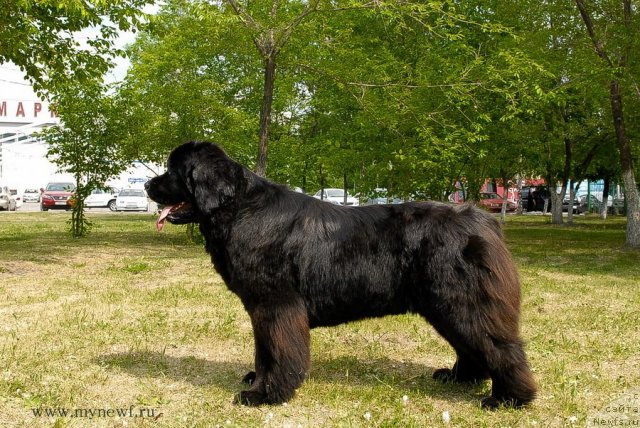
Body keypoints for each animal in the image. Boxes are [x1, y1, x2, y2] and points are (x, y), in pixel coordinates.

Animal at [144, 140, 536, 408]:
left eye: (173, 171)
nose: (147, 186)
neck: (239, 209)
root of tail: (483, 220)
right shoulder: (261, 309)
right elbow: (263, 350)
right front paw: (259, 381)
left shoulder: (276, 305)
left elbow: (277, 352)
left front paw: (264, 395)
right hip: (445, 306)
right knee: (471, 345)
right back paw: (458, 378)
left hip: (463, 301)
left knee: (500, 346)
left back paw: (508, 399)